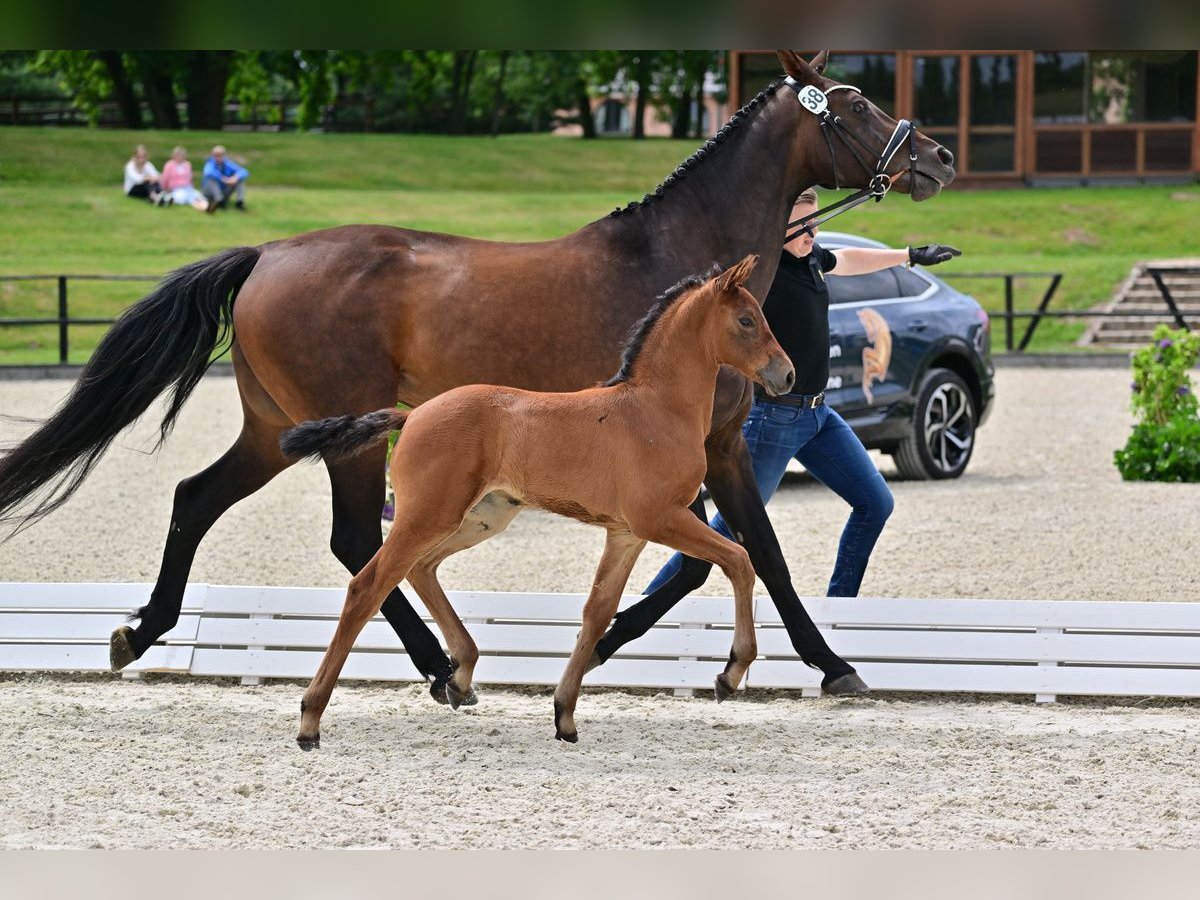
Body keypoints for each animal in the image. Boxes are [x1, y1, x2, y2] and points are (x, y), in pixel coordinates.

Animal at [280, 254, 796, 748]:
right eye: (747, 320)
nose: (787, 374)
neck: (655, 408)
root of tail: (412, 415)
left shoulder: (625, 534)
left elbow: (597, 611)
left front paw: (564, 714)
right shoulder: (659, 520)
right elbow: (740, 559)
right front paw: (731, 673)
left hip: (480, 518)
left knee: (420, 569)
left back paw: (459, 678)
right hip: (430, 515)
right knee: (367, 587)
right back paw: (310, 721)